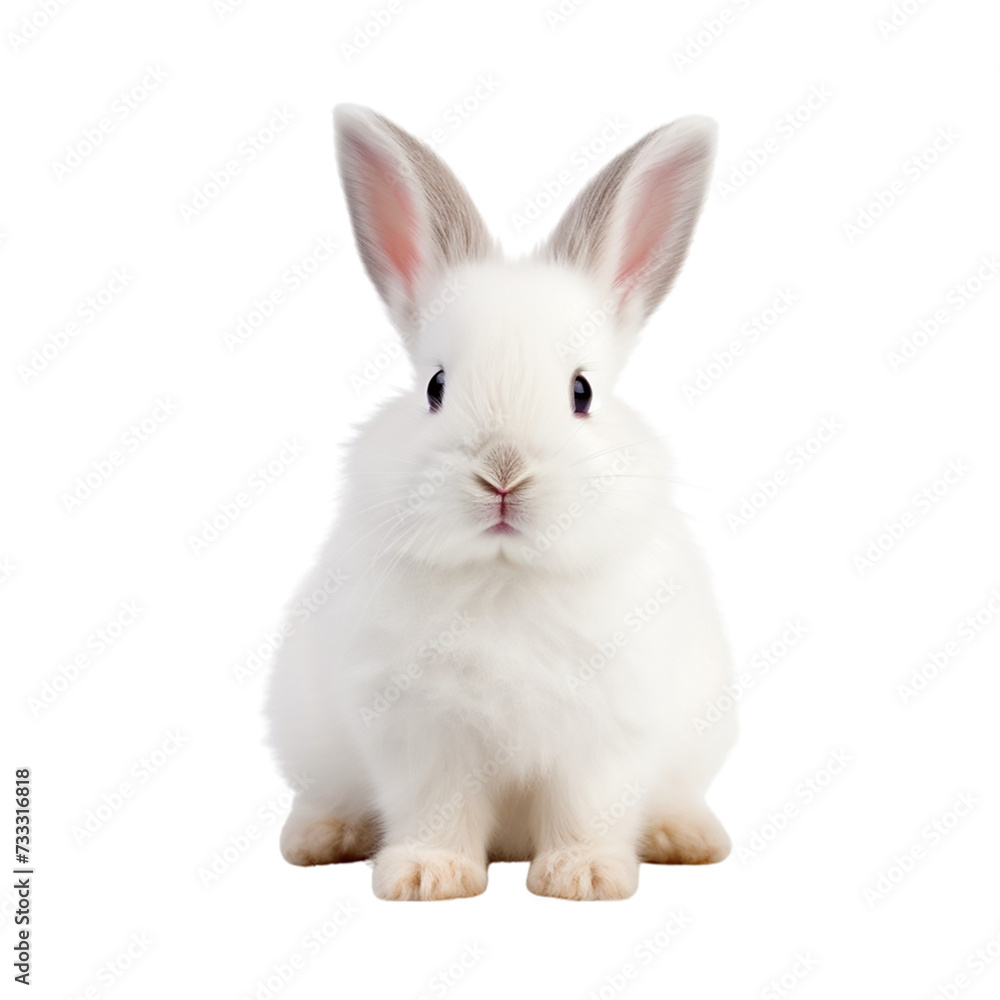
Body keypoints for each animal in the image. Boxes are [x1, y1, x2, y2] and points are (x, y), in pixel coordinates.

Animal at [265, 104, 737, 900]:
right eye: (435, 387)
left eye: (581, 391)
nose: (503, 474)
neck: (504, 574)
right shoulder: (421, 735)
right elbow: (436, 809)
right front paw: (427, 876)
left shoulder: (605, 736)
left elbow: (586, 809)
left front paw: (583, 877)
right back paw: (321, 837)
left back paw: (688, 839)